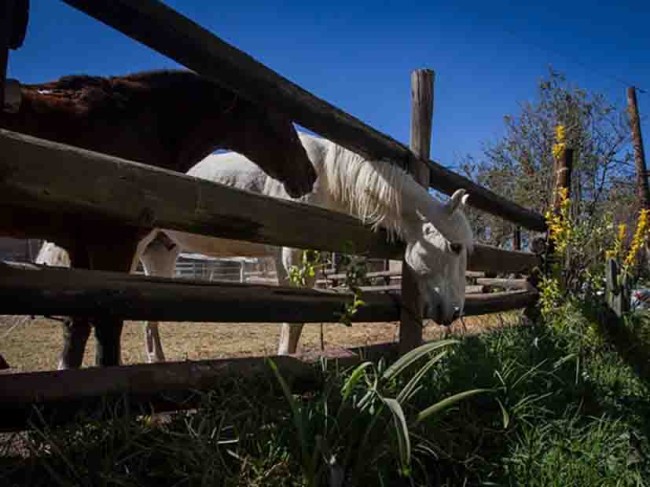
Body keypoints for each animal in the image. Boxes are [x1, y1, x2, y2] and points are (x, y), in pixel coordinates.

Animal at [0, 69, 314, 370]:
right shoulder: (111, 245)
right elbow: (106, 324)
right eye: (277, 118)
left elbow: (77, 326)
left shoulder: (80, 246)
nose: (309, 174)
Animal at [35, 132, 470, 362]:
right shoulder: (291, 254)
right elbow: (293, 316)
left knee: (145, 314)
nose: (453, 312)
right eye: (454, 246)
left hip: (159, 252)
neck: (324, 171)